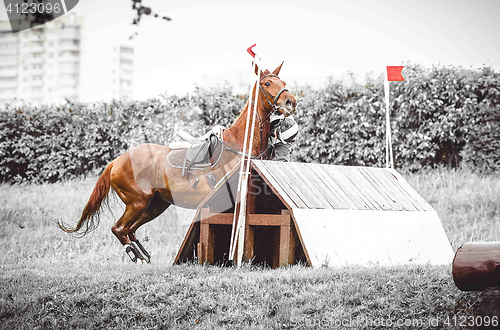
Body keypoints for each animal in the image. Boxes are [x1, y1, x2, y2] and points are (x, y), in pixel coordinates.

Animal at [61, 63, 298, 262]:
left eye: (283, 82)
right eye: (267, 84)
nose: (290, 102)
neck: (241, 143)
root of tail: (117, 161)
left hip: (155, 205)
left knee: (129, 230)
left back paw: (143, 255)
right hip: (137, 202)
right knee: (119, 229)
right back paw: (136, 255)